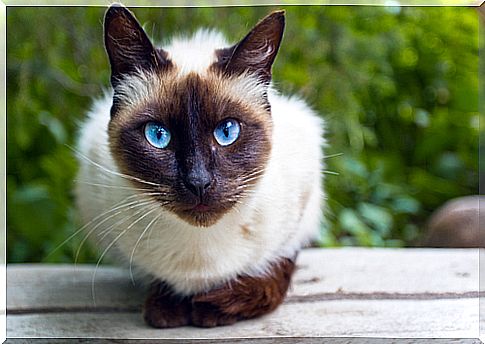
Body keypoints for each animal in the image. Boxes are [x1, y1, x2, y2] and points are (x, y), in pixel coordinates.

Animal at [74, 3, 326, 328]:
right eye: (158, 135)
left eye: (227, 132)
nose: (199, 182)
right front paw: (168, 308)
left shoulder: (301, 209)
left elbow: (277, 267)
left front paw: (213, 309)